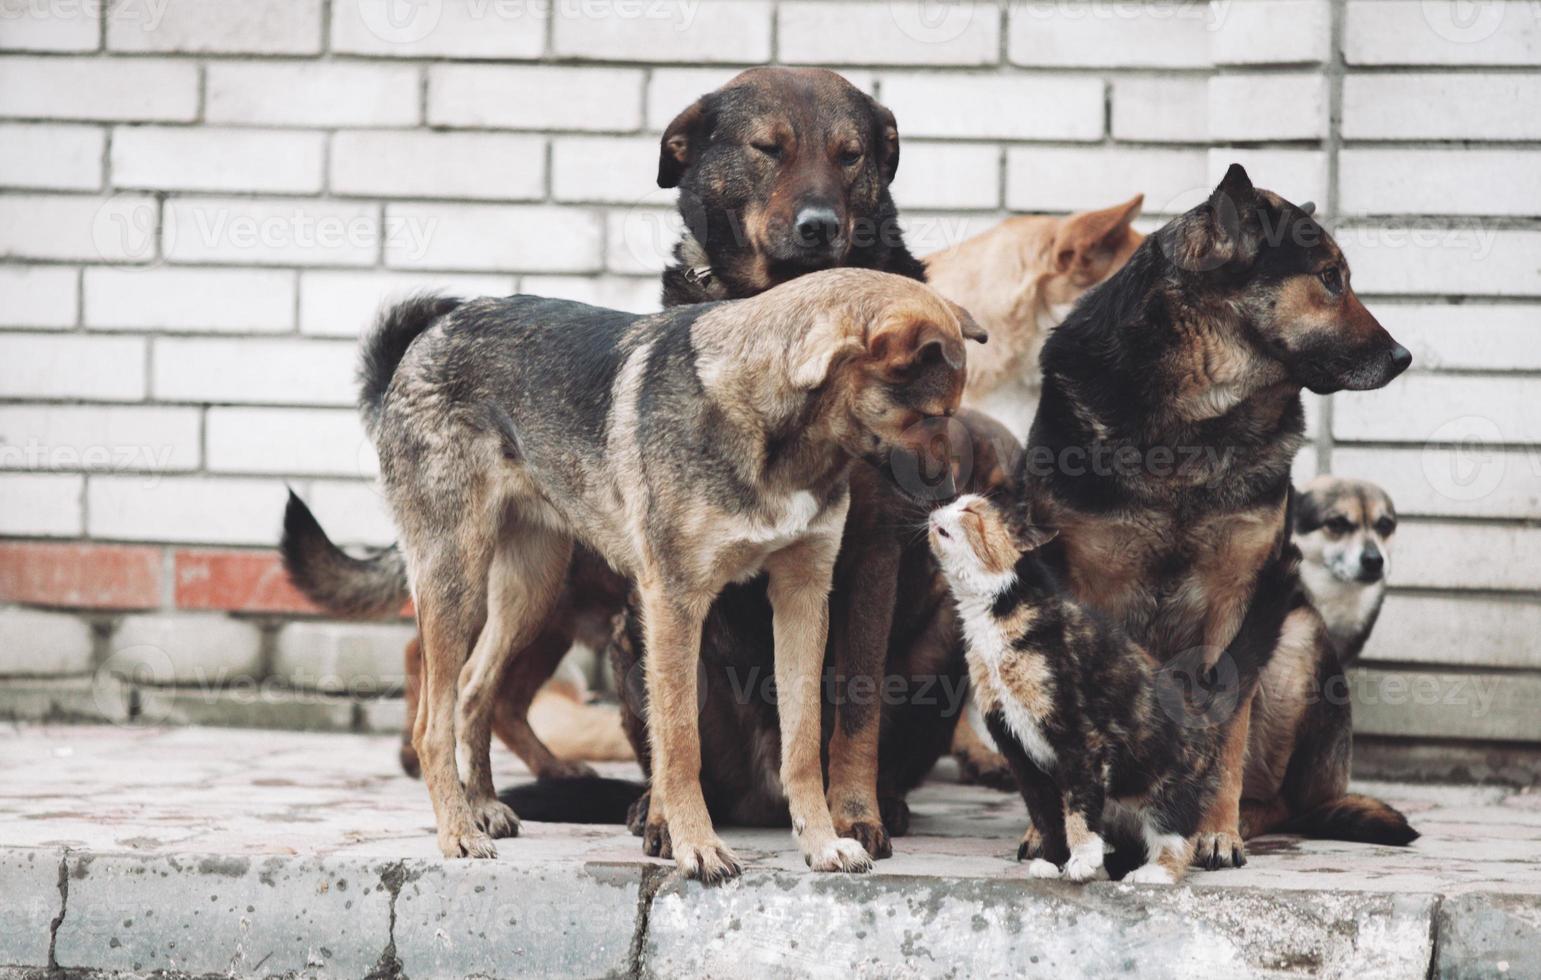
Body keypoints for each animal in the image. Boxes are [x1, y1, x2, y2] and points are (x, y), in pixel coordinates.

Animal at [924, 493, 1300, 881]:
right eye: (956, 502)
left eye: (970, 510)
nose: (938, 508)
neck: (993, 616)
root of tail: (1197, 698)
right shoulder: (1016, 749)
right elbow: (1047, 814)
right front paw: (1054, 861)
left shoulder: (1079, 735)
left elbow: (1079, 805)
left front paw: (1083, 858)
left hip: (1169, 783)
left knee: (1178, 835)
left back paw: (1152, 873)